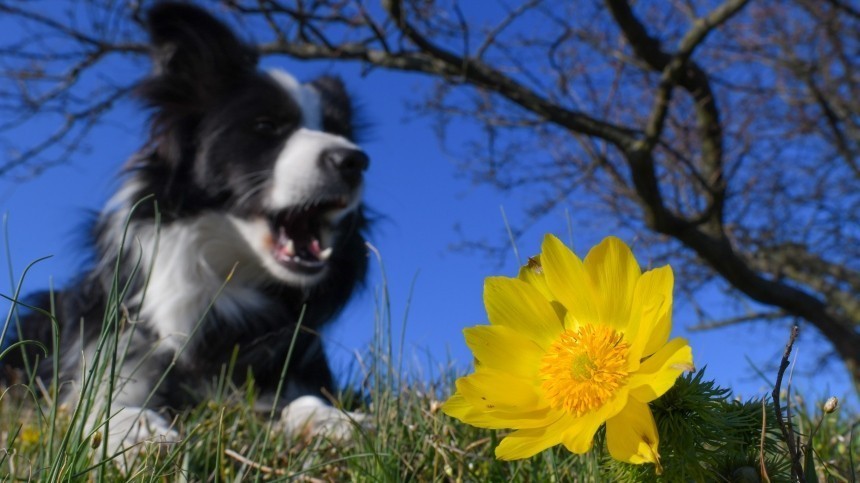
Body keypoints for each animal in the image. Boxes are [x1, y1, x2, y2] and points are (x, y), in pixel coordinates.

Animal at [0, 1, 370, 452]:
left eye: (339, 132)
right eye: (266, 127)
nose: (354, 161)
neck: (224, 278)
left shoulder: (282, 368)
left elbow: (305, 398)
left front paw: (335, 421)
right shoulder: (116, 355)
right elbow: (106, 403)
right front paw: (141, 435)